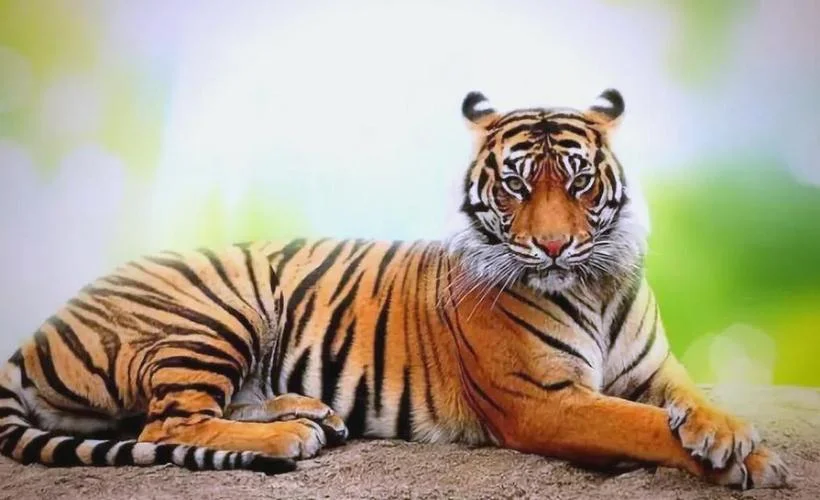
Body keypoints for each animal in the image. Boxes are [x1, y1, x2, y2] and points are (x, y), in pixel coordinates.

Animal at [0, 89, 790, 489]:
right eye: (515, 186)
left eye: (579, 182)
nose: (553, 246)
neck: (591, 286)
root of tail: (37, 331)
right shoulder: (544, 402)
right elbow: (642, 425)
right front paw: (748, 460)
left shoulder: (657, 369)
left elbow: (690, 405)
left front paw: (735, 438)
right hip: (214, 308)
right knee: (168, 424)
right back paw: (290, 433)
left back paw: (311, 412)